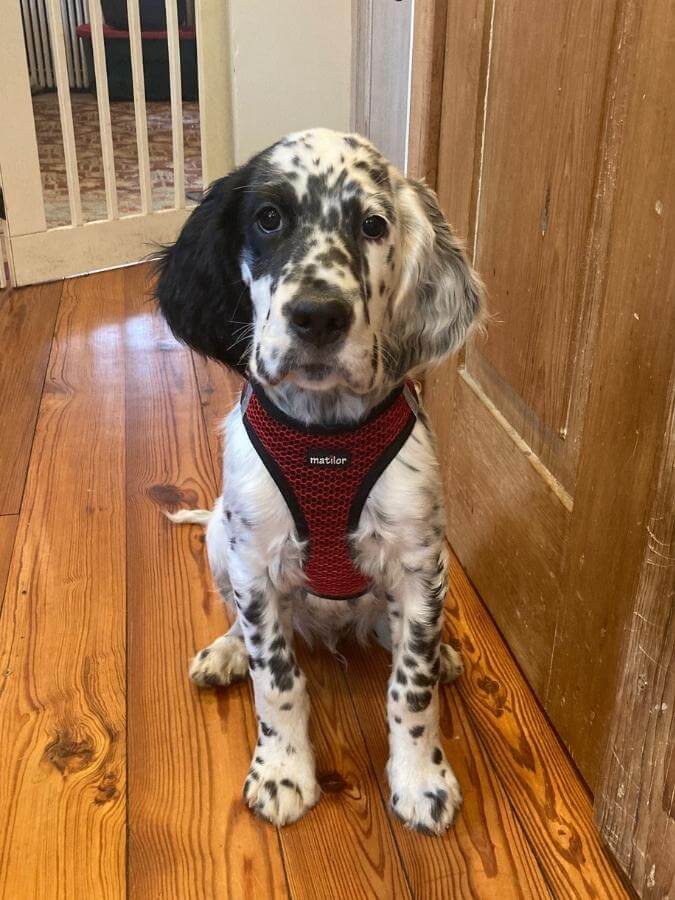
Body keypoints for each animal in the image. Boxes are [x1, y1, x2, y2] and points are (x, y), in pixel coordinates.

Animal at [157, 128, 486, 836]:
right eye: (268, 218)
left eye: (373, 225)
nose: (318, 316)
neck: (325, 437)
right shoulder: (254, 562)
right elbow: (277, 682)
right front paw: (283, 773)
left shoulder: (419, 561)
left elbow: (410, 688)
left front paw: (421, 780)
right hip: (219, 541)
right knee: (239, 623)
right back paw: (225, 652)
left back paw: (442, 653)